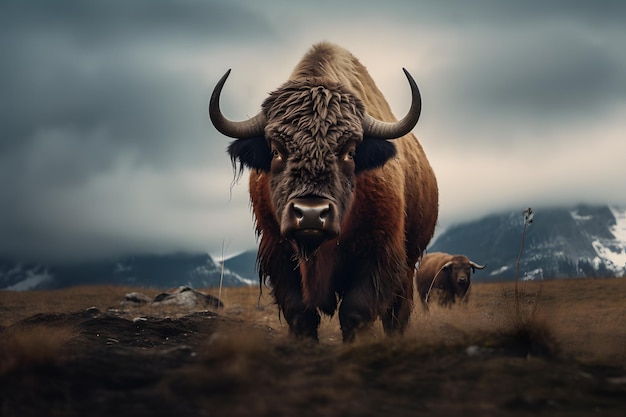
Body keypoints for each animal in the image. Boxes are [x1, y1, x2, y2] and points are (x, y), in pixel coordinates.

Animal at [207, 42, 436, 342]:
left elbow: (355, 312)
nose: (311, 214)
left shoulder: (380, 253)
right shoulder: (278, 252)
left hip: (409, 262)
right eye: (276, 150)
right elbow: (300, 314)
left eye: (350, 151)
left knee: (397, 312)